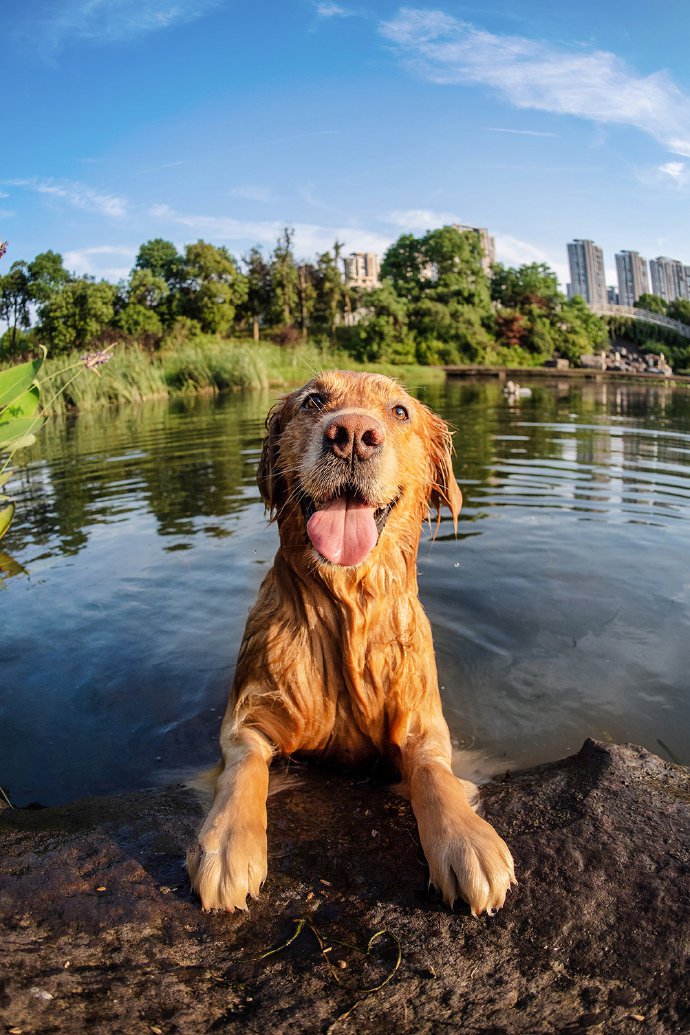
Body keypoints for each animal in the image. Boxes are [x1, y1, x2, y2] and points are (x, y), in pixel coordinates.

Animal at [186, 370, 515, 914]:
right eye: (313, 401)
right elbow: (244, 767)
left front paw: (468, 840)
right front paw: (228, 841)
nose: (354, 436)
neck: (345, 610)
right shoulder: (248, 716)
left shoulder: (423, 721)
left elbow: (434, 773)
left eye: (400, 411)